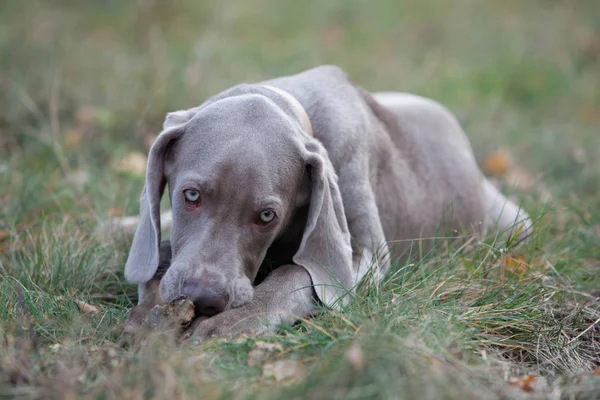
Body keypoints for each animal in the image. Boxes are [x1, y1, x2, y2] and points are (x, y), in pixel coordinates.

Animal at [119, 65, 532, 340]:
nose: (203, 298)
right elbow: (162, 250)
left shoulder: (368, 253)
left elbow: (299, 273)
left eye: (267, 216)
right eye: (191, 195)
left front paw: (231, 322)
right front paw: (151, 312)